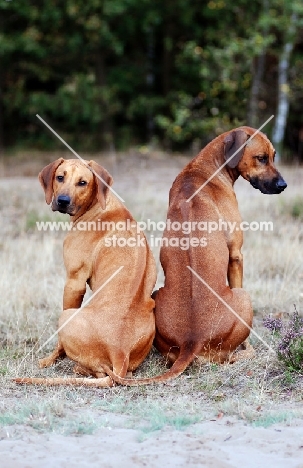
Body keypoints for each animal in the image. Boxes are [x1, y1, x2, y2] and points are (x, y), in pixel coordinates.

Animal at [14, 159, 157, 386]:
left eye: (83, 182)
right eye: (60, 177)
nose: (62, 201)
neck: (98, 207)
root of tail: (120, 352)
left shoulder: (74, 282)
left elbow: (59, 344)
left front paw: (49, 360)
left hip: (66, 317)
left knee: (98, 371)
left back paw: (78, 368)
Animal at [101, 126, 288, 386]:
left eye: (274, 156)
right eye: (261, 158)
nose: (283, 184)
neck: (206, 170)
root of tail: (192, 341)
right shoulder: (236, 256)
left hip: (156, 296)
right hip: (244, 298)